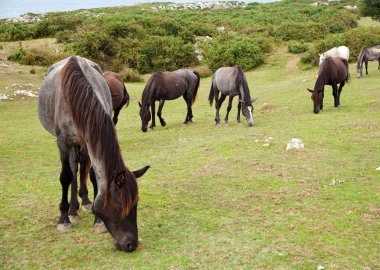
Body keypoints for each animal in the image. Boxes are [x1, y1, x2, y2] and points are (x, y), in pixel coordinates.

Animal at [37, 56, 150, 252]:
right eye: (119, 206)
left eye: (136, 203)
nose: (131, 245)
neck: (78, 97)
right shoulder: (63, 142)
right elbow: (66, 177)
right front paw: (63, 218)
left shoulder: (90, 140)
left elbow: (93, 176)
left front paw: (97, 221)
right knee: (73, 170)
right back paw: (72, 210)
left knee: (81, 166)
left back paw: (83, 201)